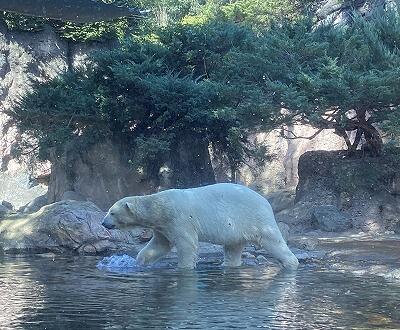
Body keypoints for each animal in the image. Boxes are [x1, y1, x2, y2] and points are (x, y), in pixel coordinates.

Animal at [101, 183, 298, 270]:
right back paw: (227, 265)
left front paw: (184, 267)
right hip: (235, 227)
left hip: (254, 218)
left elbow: (187, 244)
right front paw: (139, 261)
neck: (160, 206)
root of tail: (265, 201)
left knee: (273, 241)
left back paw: (291, 263)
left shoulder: (179, 219)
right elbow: (159, 245)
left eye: (111, 212)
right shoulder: (162, 226)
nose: (103, 223)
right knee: (233, 247)